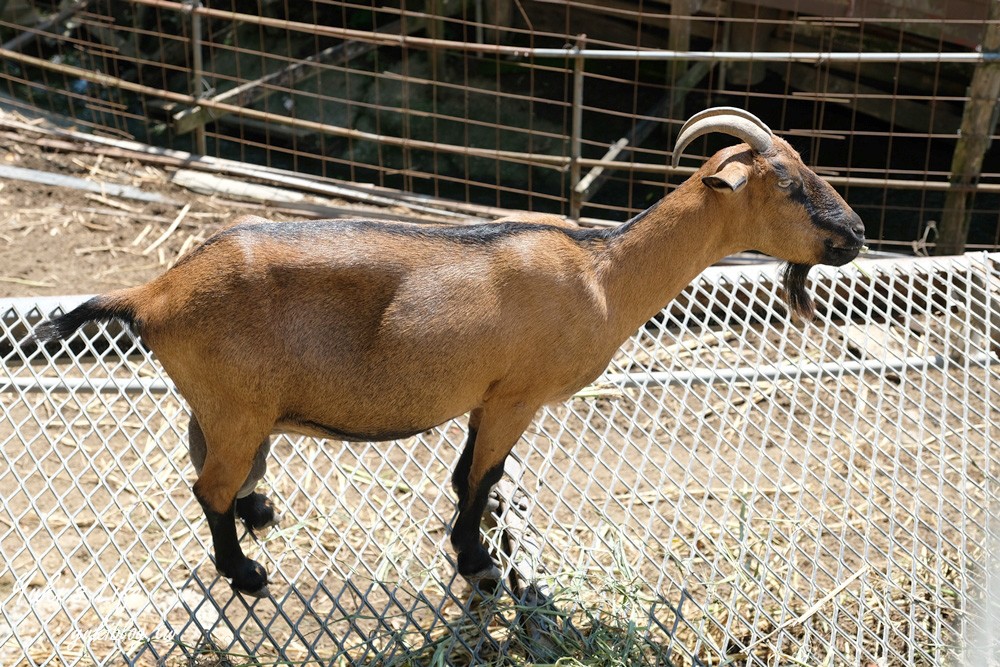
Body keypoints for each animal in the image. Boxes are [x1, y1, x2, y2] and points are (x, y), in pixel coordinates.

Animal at [31, 107, 860, 596]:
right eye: (788, 184)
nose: (854, 234)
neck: (601, 271)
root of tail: (155, 292)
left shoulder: (486, 396)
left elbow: (469, 473)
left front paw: (474, 547)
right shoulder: (516, 395)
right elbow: (480, 478)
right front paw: (478, 561)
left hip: (224, 404)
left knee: (208, 463)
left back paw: (257, 508)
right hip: (238, 406)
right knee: (206, 486)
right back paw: (246, 571)